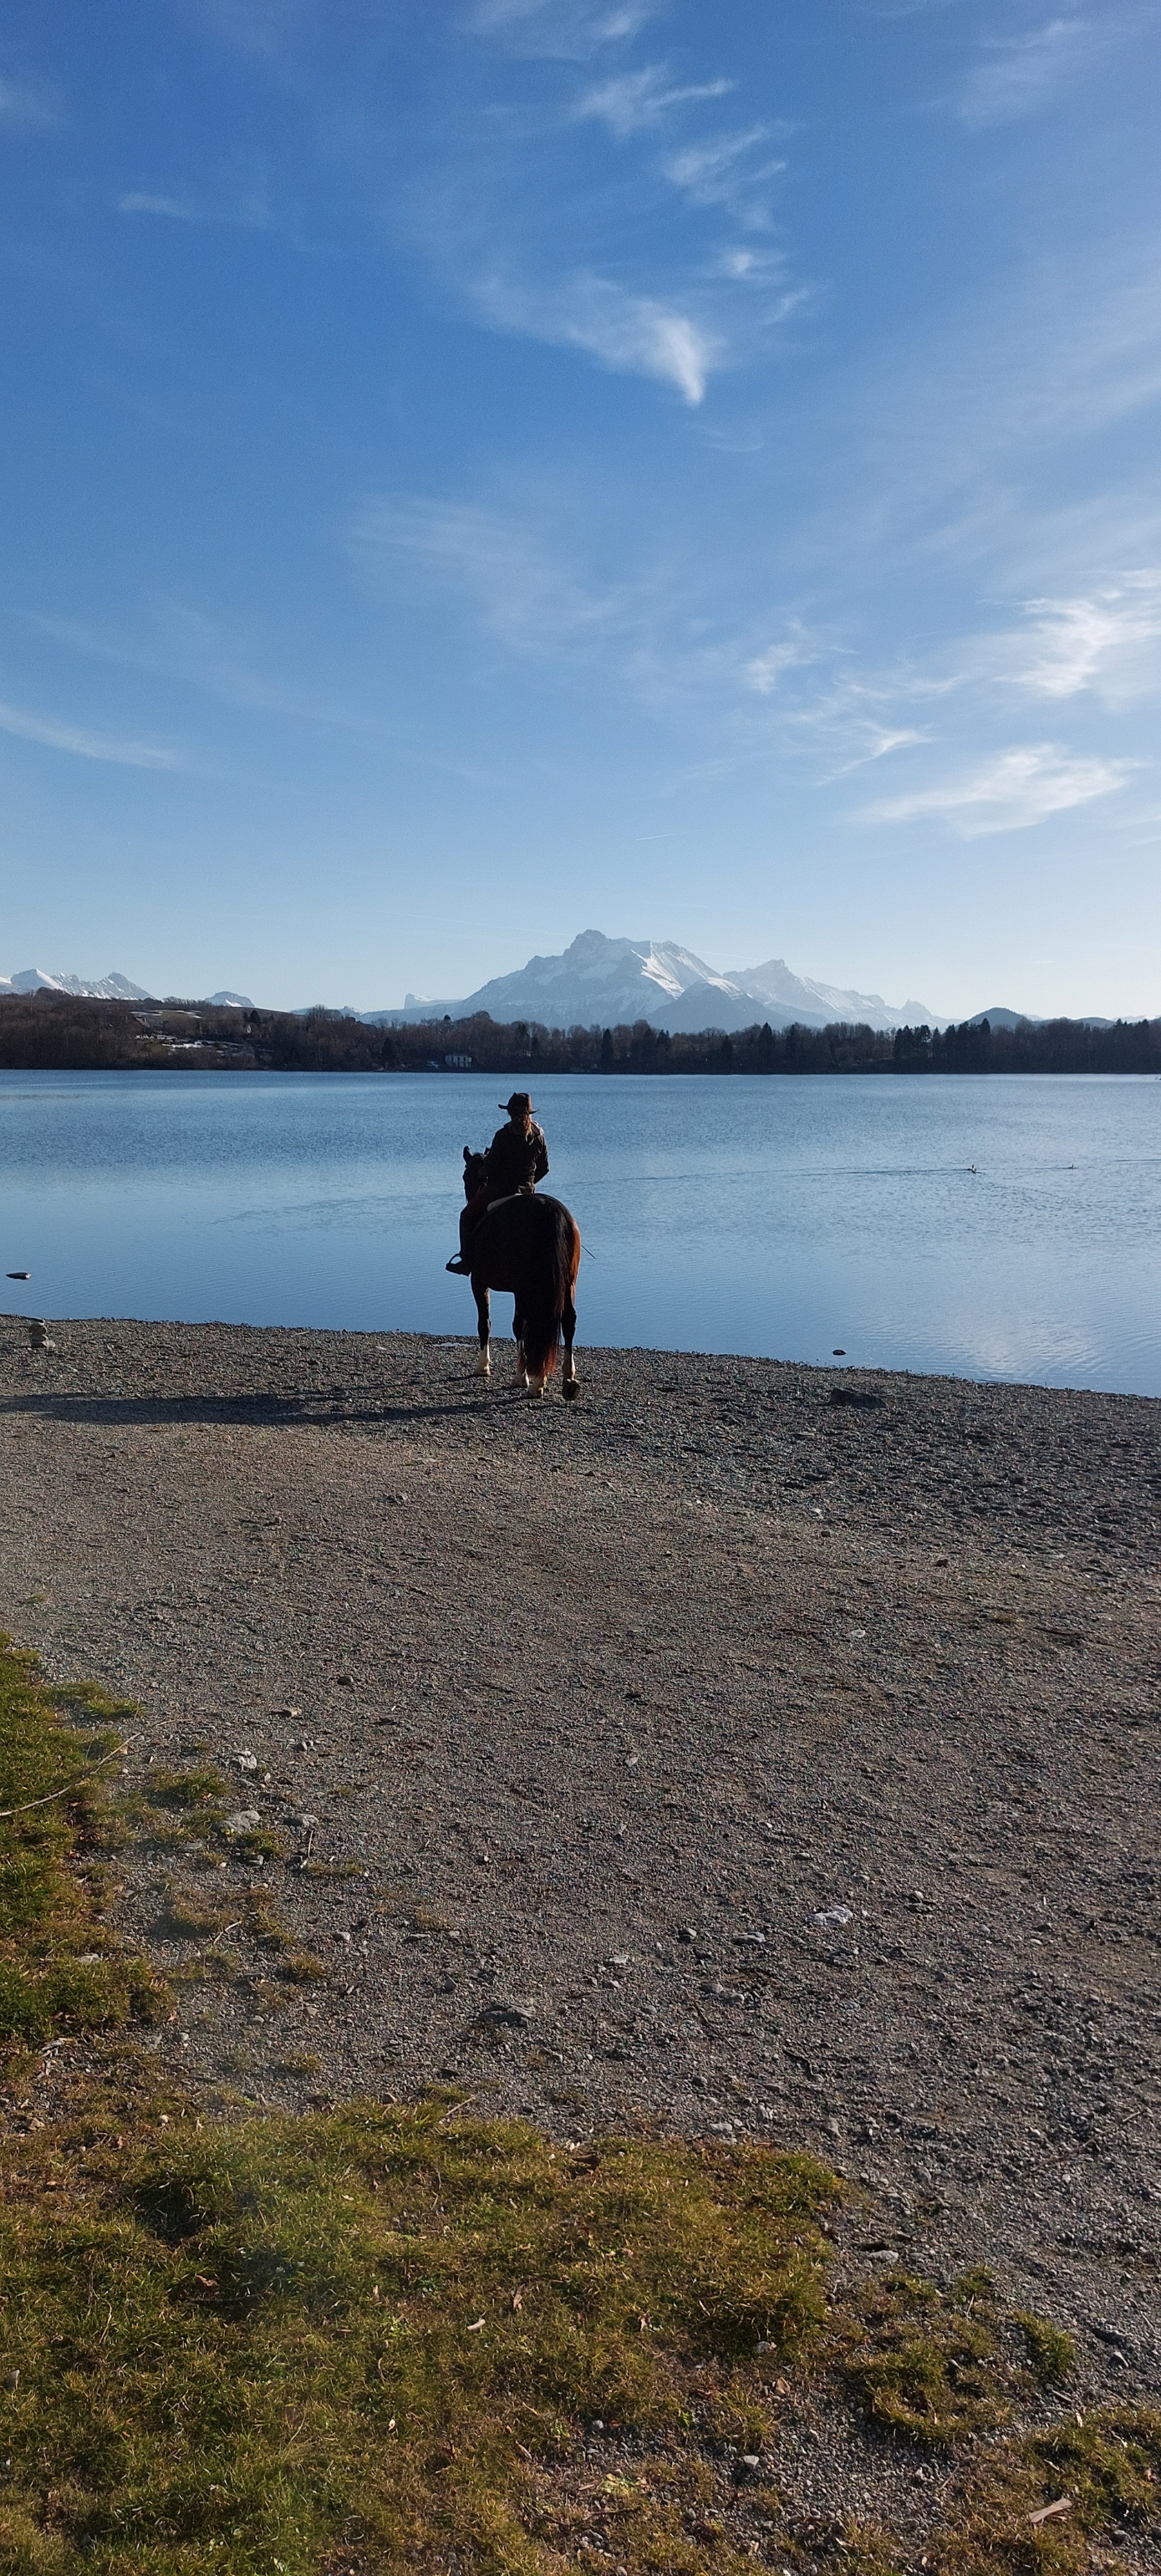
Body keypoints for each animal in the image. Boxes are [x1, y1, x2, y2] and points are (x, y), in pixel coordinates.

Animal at [459, 1146, 581, 1399]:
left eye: (468, 1176)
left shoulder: (480, 1282)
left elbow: (488, 1323)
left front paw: (487, 1367)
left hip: (529, 1287)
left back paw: (535, 1382)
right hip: (568, 1283)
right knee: (568, 1321)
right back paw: (568, 1379)